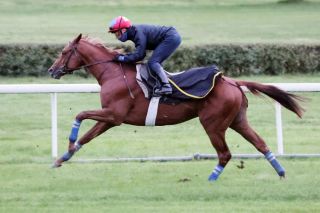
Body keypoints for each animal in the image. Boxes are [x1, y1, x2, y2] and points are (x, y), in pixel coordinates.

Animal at [47, 34, 302, 181]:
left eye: (64, 52)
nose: (52, 70)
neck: (114, 73)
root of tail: (231, 81)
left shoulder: (114, 114)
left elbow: (81, 115)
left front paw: (69, 141)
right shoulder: (110, 119)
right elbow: (87, 137)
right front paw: (62, 158)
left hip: (213, 124)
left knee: (225, 154)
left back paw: (210, 180)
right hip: (238, 120)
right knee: (261, 143)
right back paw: (281, 173)